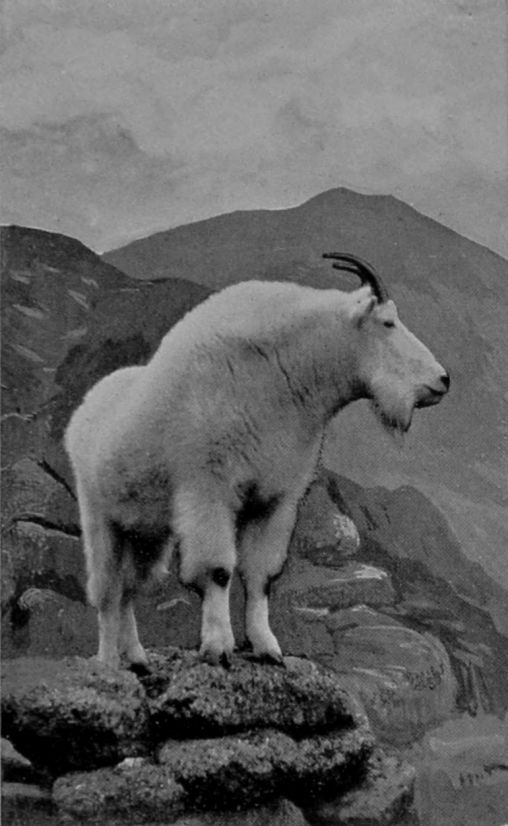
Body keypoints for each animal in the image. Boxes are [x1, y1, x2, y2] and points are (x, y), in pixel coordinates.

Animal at [64, 254, 450, 669]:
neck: (283, 374)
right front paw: (218, 646)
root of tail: (85, 408)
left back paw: (136, 656)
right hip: (100, 517)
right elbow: (218, 570)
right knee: (107, 591)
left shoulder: (273, 499)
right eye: (387, 322)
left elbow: (261, 576)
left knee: (131, 589)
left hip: (147, 533)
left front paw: (267, 647)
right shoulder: (210, 490)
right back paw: (107, 661)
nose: (442, 380)